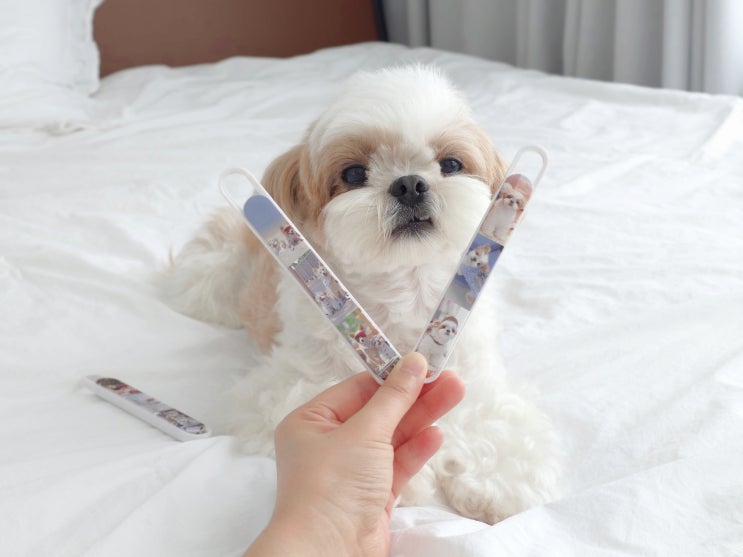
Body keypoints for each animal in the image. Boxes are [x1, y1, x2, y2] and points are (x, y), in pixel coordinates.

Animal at [163, 66, 559, 524]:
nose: (409, 184)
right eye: (353, 174)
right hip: (214, 273)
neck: (402, 289)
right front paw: (405, 473)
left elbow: (493, 419)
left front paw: (501, 483)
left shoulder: (472, 371)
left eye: (451, 164)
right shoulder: (285, 386)